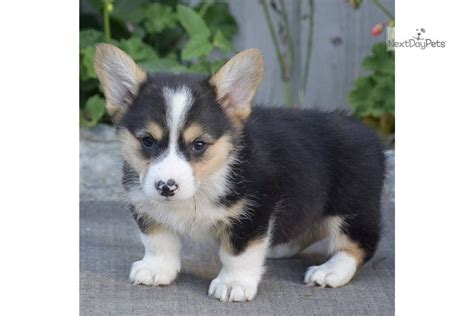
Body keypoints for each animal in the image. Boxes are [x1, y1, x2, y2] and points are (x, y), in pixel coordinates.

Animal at [93, 43, 386, 302]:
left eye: (199, 144)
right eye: (147, 141)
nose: (166, 186)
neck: (208, 180)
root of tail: (369, 133)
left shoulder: (254, 211)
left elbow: (238, 252)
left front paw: (233, 283)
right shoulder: (145, 205)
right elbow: (157, 240)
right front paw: (156, 269)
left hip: (351, 206)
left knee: (359, 243)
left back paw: (331, 271)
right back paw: (277, 247)